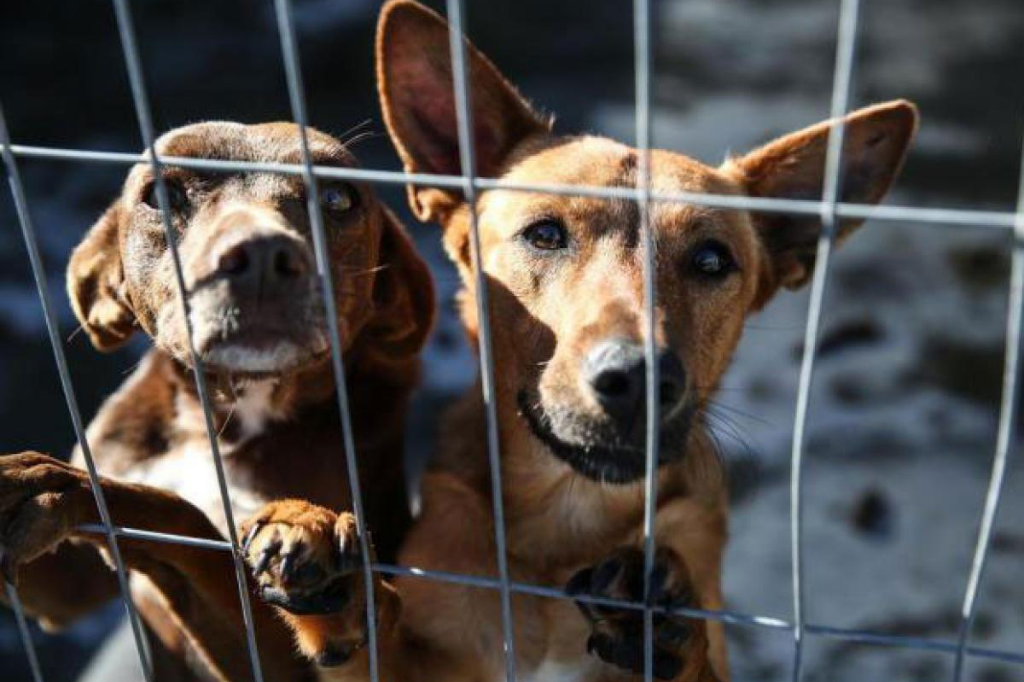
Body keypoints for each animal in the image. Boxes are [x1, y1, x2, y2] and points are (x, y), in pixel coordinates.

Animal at [0, 122, 432, 679]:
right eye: (161, 196)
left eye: (337, 197)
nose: (264, 256)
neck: (229, 416)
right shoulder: (65, 592)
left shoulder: (271, 662)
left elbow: (178, 516)